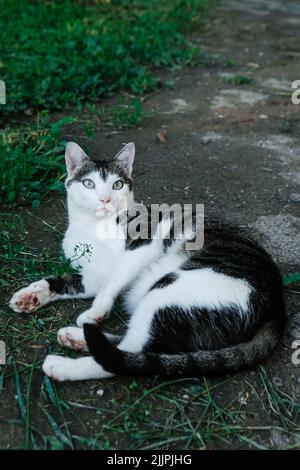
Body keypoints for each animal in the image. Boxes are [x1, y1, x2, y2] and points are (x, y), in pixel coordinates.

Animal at [9, 141, 286, 380]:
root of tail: (276, 306)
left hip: (172, 288)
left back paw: (63, 364)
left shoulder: (143, 243)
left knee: (130, 355)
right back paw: (76, 338)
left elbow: (112, 281)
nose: (105, 200)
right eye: (88, 184)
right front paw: (31, 295)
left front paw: (96, 312)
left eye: (117, 185)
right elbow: (65, 281)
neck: (92, 226)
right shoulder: (91, 276)